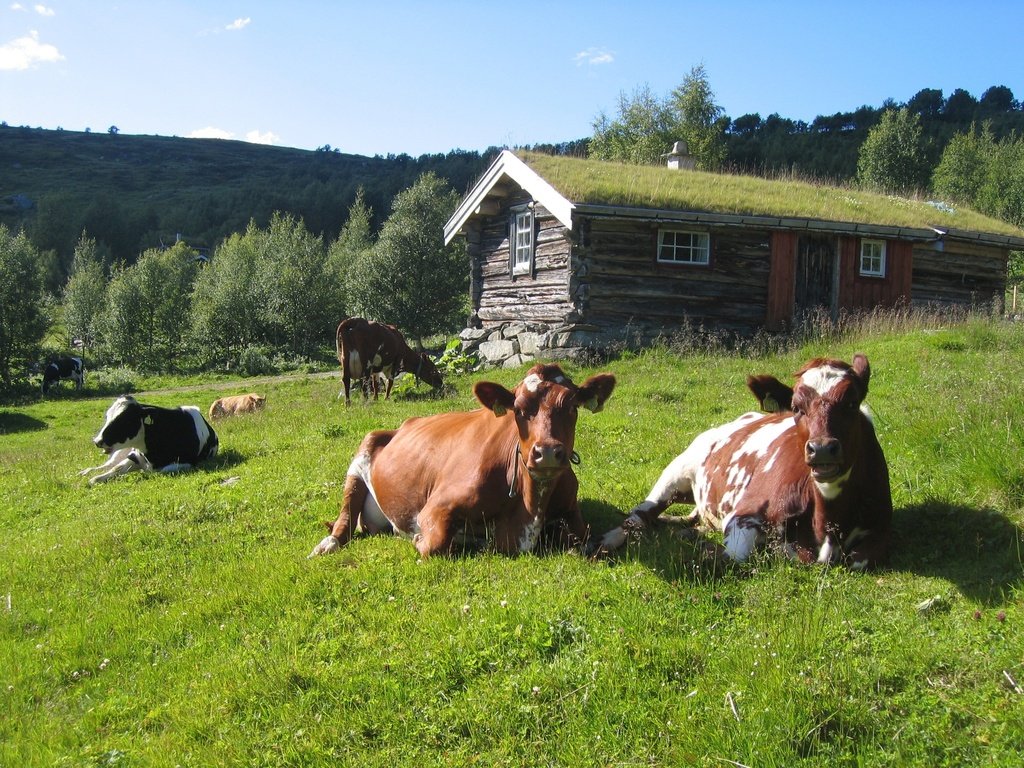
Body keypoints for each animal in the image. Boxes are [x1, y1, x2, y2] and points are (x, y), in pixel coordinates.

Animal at [81, 397, 220, 487]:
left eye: (124, 420)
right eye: (107, 416)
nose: (97, 441)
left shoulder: (188, 462)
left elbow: (160, 471)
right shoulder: (134, 455)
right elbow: (115, 469)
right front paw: (94, 479)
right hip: (120, 452)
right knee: (108, 464)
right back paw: (85, 471)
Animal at [307, 364, 614, 557]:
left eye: (572, 406)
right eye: (518, 409)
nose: (548, 451)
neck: (528, 513)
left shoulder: (571, 511)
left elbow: (587, 540)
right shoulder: (435, 509)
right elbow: (434, 544)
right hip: (363, 452)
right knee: (346, 516)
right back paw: (328, 544)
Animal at [598, 354, 892, 573]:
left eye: (852, 403)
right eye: (797, 408)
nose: (821, 449)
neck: (827, 522)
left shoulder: (880, 528)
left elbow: (858, 559)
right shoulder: (744, 514)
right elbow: (735, 557)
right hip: (676, 471)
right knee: (639, 515)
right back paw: (608, 540)